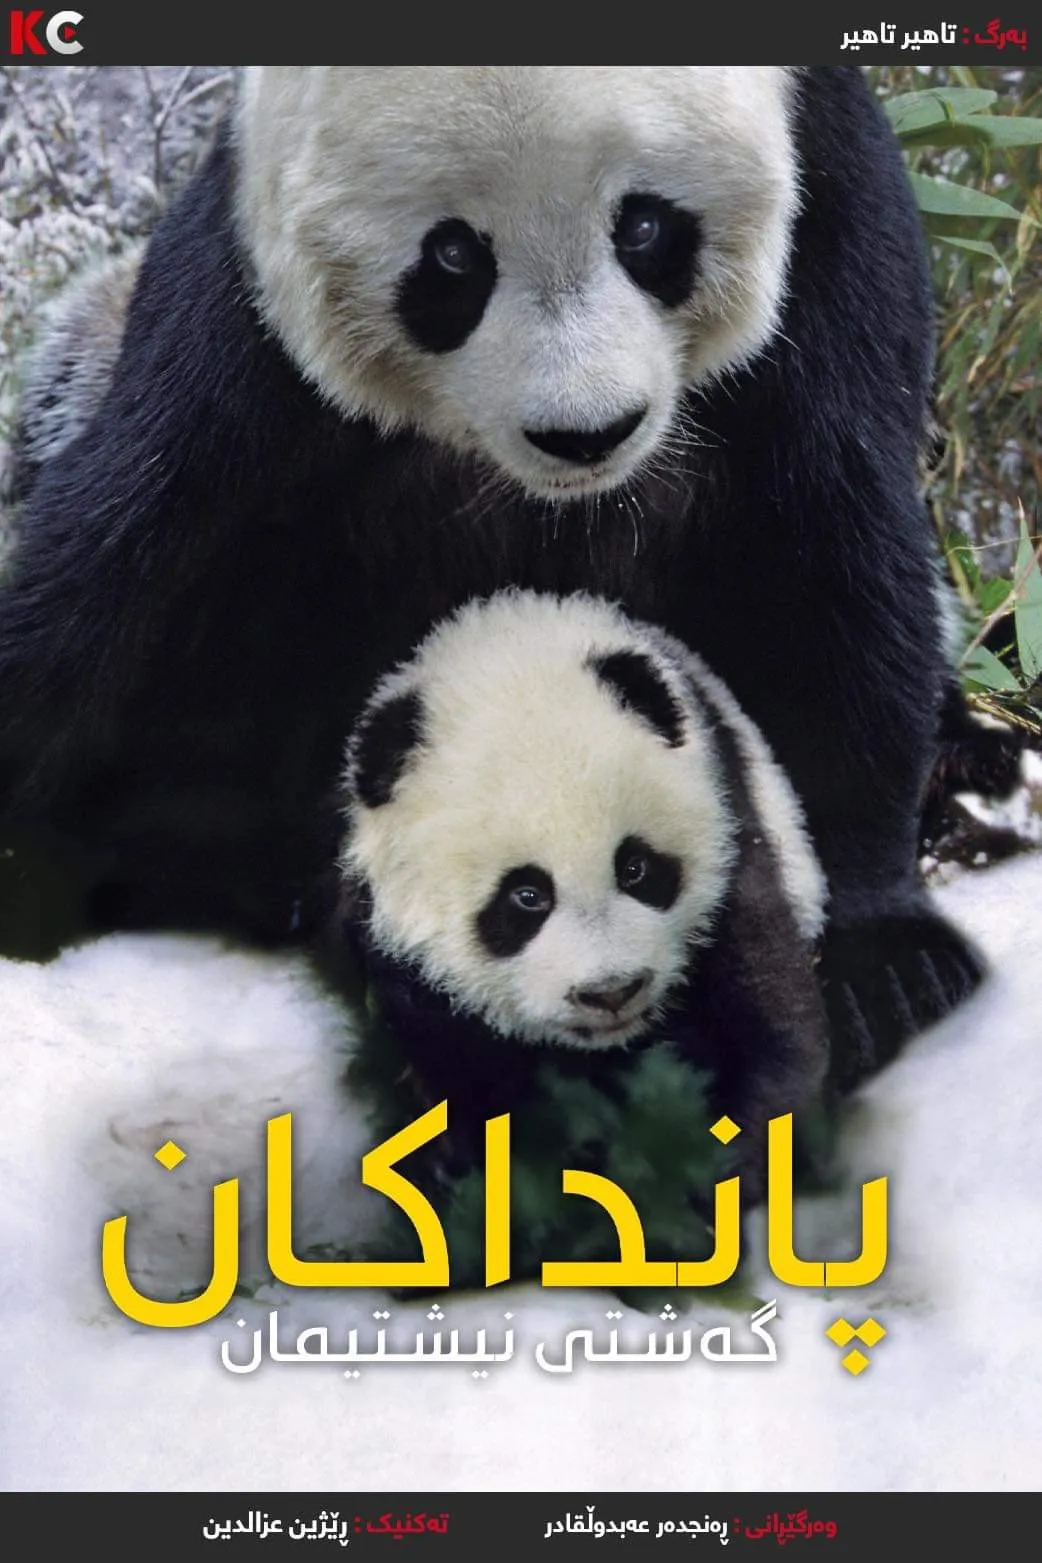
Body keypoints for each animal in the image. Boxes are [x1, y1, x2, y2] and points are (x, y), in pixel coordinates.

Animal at [0, 66, 984, 1091]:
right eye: (453, 256)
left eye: (643, 226)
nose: (587, 433)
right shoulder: (246, 297)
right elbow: (123, 558)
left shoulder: (833, 216)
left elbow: (830, 552)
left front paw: (886, 962)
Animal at [319, 588, 830, 1200]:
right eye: (526, 896)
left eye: (635, 867)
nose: (611, 992)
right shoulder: (391, 945)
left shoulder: (732, 836)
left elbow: (771, 1014)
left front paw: (729, 1166)